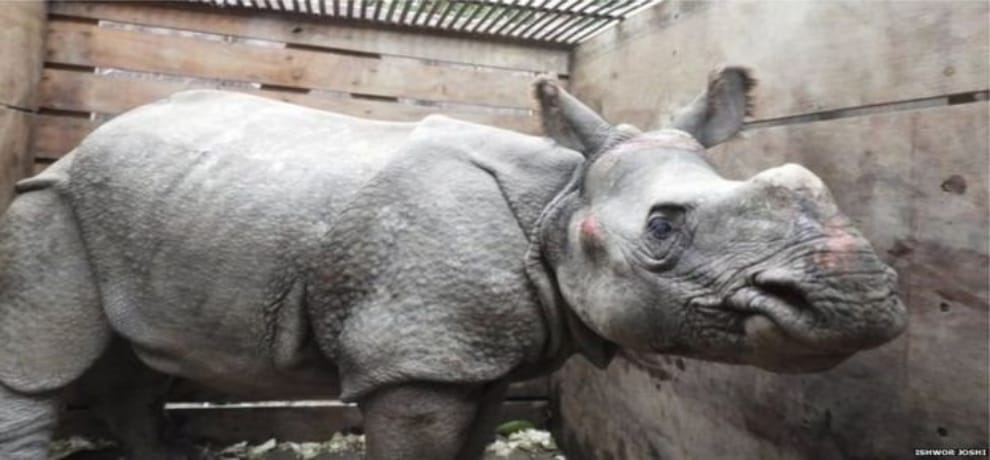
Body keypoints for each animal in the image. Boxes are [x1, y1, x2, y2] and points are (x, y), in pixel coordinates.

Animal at [0, 67, 906, 460]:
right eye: (662, 227)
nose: (860, 297)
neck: (563, 195)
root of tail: (79, 145)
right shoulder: (419, 355)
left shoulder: (475, 349)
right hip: (52, 201)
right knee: (43, 359)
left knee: (133, 358)